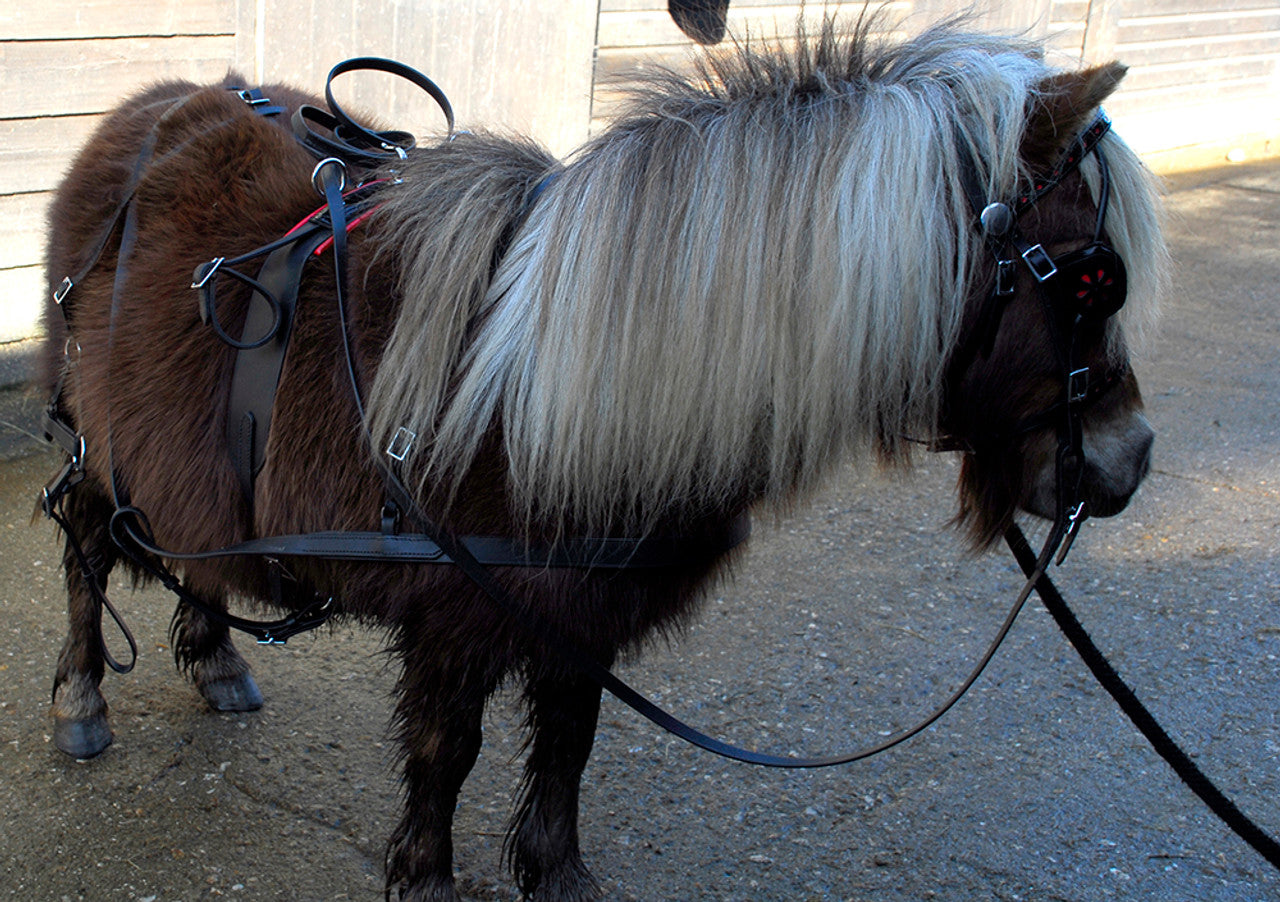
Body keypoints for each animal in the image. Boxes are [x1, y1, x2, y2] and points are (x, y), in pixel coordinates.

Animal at [38, 17, 1166, 901]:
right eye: (1092, 278)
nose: (1130, 458)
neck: (550, 388)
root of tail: (157, 108)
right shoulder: (459, 609)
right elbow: (448, 753)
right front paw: (425, 875)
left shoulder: (580, 608)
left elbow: (569, 742)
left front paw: (555, 871)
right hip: (97, 441)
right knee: (88, 547)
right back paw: (83, 696)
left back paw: (216, 652)